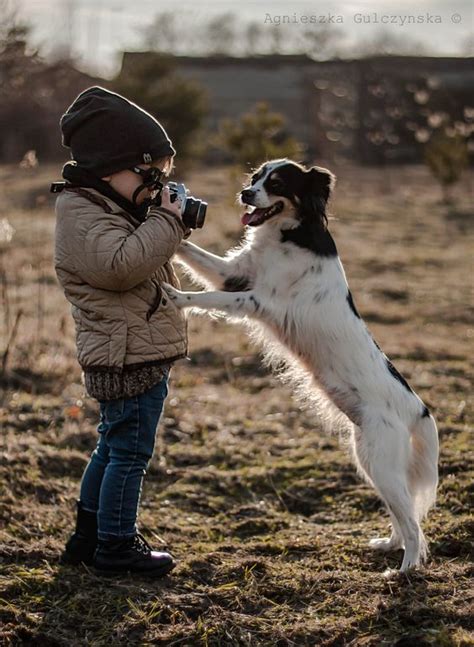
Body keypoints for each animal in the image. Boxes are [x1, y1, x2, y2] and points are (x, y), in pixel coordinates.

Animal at [165, 159, 438, 576]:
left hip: (380, 462)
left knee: (414, 525)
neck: (290, 233)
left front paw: (177, 297)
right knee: (401, 512)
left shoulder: (255, 300)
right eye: (256, 177)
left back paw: (405, 569)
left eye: (276, 184)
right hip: (371, 460)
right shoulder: (232, 273)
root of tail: (419, 409)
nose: (245, 193)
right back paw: (388, 546)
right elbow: (191, 251)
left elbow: (206, 297)